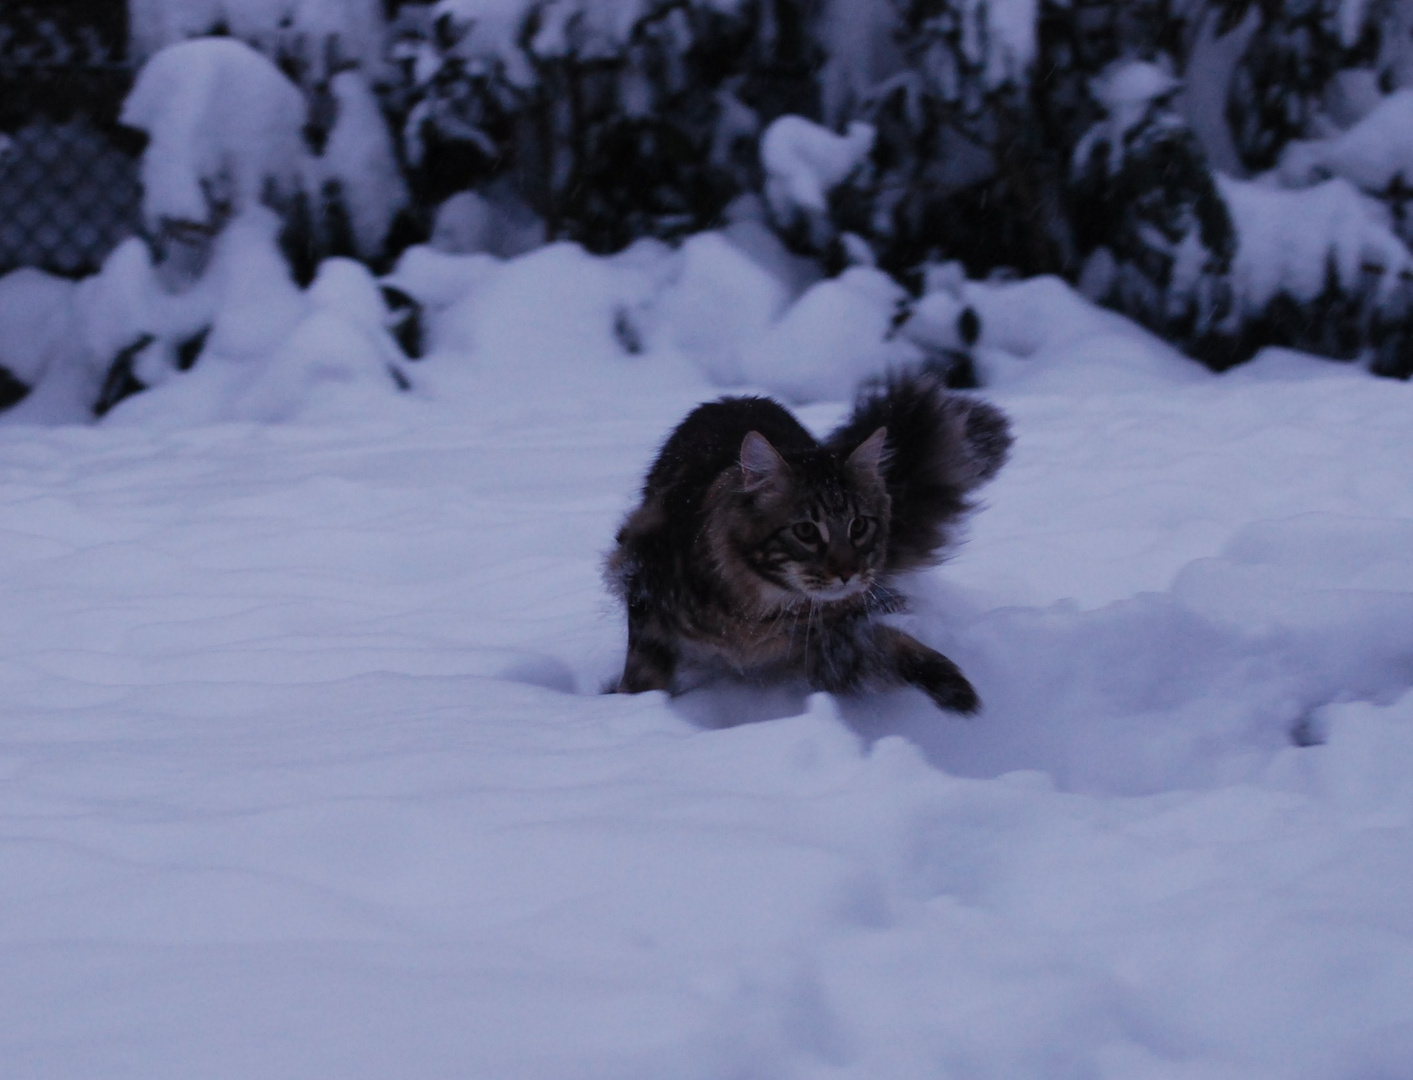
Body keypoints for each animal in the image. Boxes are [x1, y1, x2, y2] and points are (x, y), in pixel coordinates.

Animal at [601, 373, 1011, 718]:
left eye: (859, 526)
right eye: (806, 532)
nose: (847, 573)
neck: (756, 614)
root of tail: (736, 398)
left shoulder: (838, 640)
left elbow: (891, 646)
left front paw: (951, 685)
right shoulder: (641, 575)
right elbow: (643, 674)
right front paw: (632, 710)